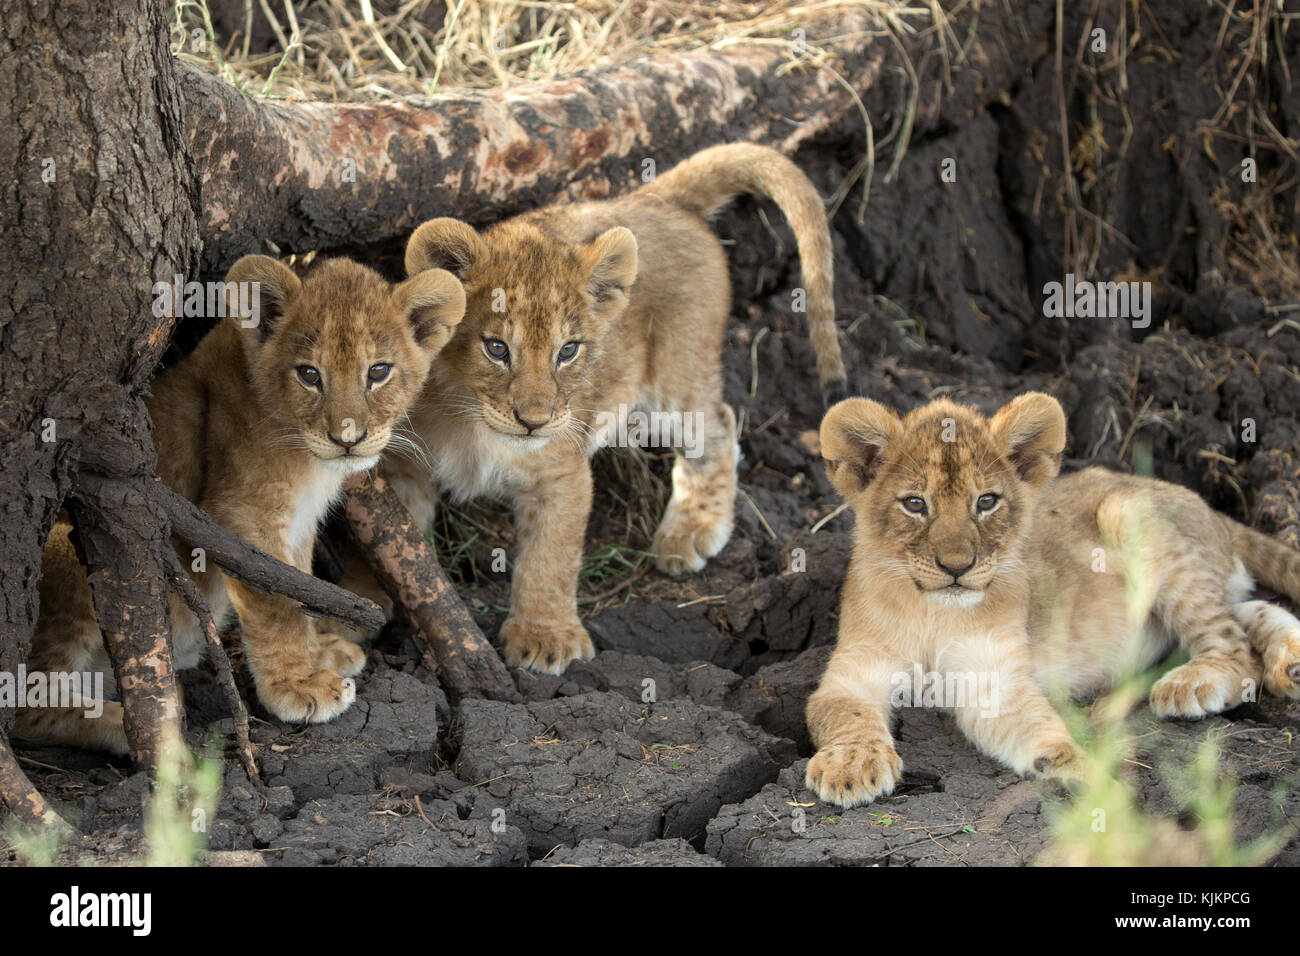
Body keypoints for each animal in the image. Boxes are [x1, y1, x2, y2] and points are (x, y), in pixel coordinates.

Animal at [14, 255, 465, 753]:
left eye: (378, 371)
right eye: (310, 375)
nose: (347, 439)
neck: (309, 460)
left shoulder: (298, 521)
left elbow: (300, 581)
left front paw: (321, 652)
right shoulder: (240, 512)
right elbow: (277, 601)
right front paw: (298, 686)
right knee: (26, 701)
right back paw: (137, 726)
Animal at [382, 143, 847, 674]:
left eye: (568, 351)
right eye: (496, 349)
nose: (534, 422)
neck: (472, 420)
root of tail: (656, 199)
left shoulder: (562, 473)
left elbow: (549, 558)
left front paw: (546, 638)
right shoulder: (403, 463)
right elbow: (401, 540)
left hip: (676, 379)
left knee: (720, 427)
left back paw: (692, 529)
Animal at [805, 392, 1300, 808]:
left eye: (986, 501)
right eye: (914, 504)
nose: (957, 566)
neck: (934, 614)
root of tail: (1211, 507)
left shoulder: (994, 680)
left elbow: (1038, 725)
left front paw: (1084, 770)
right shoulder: (853, 670)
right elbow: (845, 713)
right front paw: (852, 765)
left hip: (1128, 513)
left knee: (1234, 646)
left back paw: (1196, 682)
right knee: (1244, 611)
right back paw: (1289, 662)